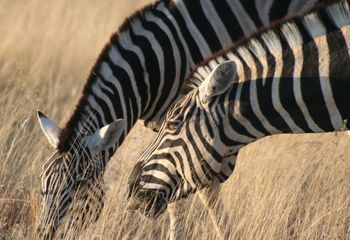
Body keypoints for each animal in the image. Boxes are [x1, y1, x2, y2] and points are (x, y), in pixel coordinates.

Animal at [35, 0, 322, 238]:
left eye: (78, 187)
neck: (153, 67)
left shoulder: (195, 125)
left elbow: (191, 196)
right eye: (42, 186)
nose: (43, 234)